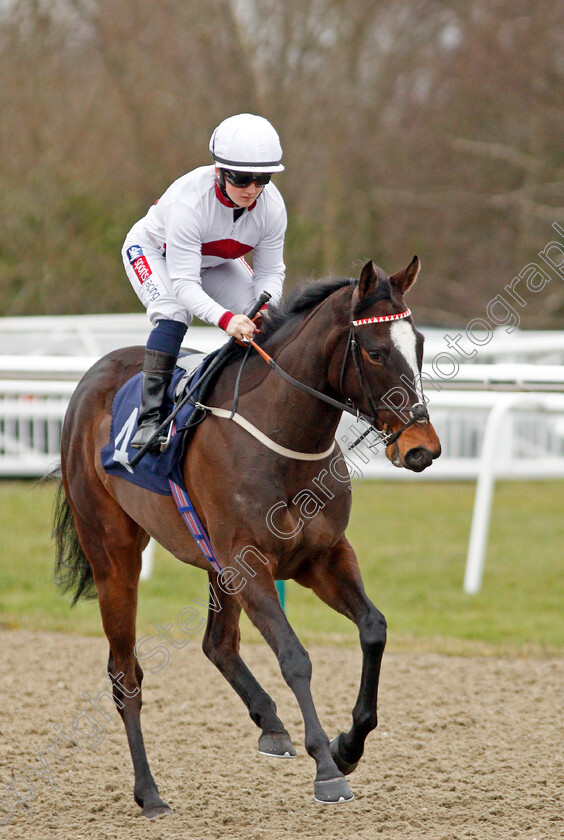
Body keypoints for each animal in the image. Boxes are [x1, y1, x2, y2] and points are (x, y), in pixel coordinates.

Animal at [53, 254, 440, 812]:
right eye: (375, 351)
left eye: (421, 345)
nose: (421, 448)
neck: (284, 438)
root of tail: (92, 378)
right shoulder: (250, 564)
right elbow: (295, 657)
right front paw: (327, 768)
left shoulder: (322, 556)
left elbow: (374, 628)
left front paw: (348, 745)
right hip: (113, 554)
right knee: (125, 674)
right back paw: (149, 791)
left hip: (213, 563)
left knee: (217, 643)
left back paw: (270, 723)